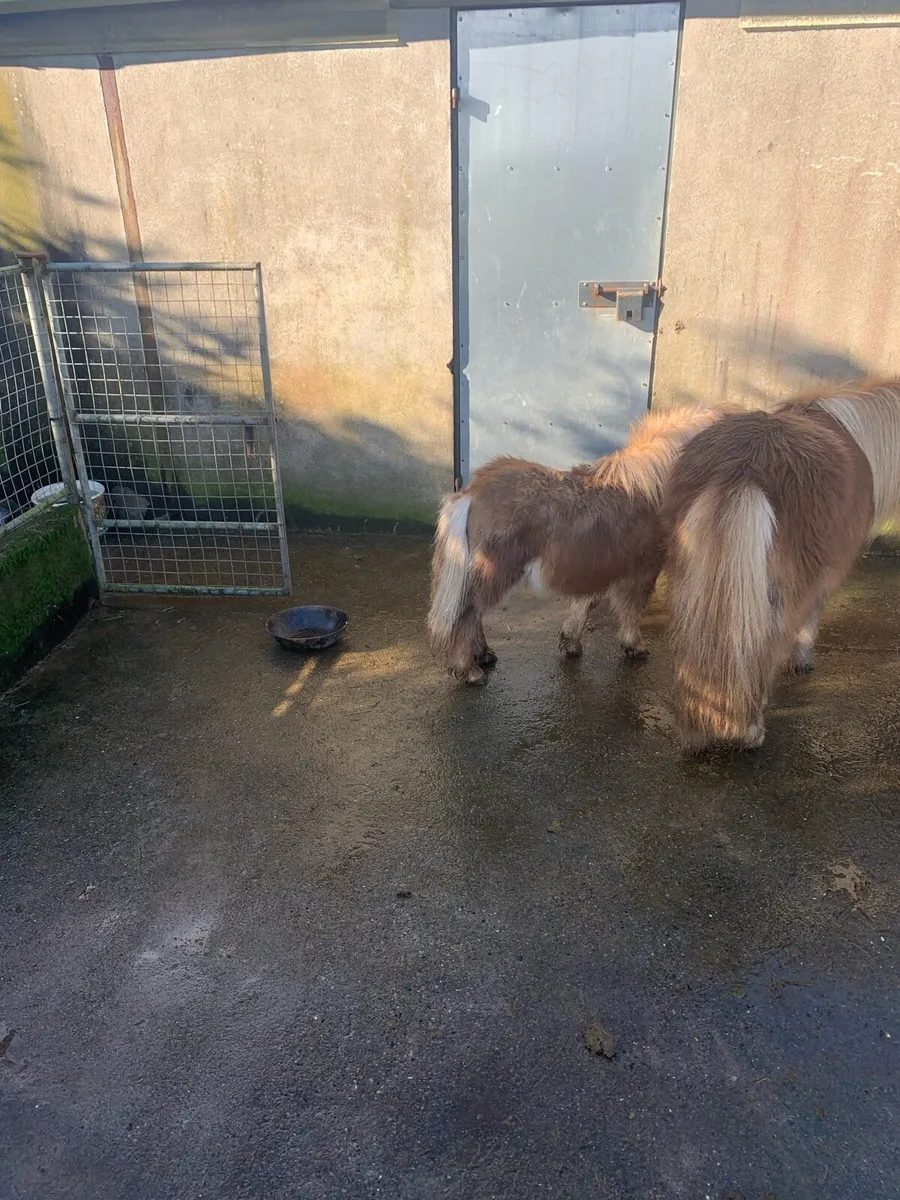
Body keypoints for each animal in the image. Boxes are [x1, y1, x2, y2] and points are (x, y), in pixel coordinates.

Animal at [428, 404, 731, 684]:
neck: (650, 487)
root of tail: (471, 493)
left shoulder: (597, 565)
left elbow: (586, 604)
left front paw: (571, 642)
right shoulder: (641, 569)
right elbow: (631, 609)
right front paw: (634, 646)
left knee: (474, 613)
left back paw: (484, 655)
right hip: (496, 570)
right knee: (468, 613)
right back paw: (470, 670)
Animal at [663, 380, 900, 751]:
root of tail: (745, 467)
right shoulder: (824, 579)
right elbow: (810, 621)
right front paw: (803, 662)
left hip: (692, 578)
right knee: (770, 640)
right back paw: (749, 731)